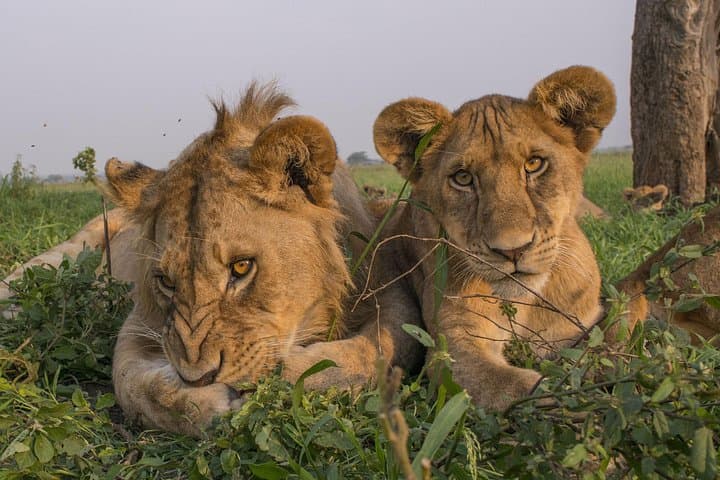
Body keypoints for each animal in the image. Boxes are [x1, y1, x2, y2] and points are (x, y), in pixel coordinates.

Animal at [1, 83, 423, 435]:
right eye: (166, 282)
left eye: (241, 267)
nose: (198, 377)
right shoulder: (140, 323)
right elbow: (131, 385)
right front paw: (203, 404)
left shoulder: (390, 291)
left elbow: (381, 348)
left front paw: (295, 374)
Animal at [372, 65, 616, 411]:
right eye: (463, 178)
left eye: (534, 164)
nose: (513, 250)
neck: (524, 303)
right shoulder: (451, 345)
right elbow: (509, 386)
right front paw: (561, 394)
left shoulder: (578, 324)